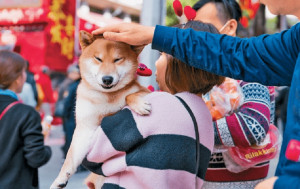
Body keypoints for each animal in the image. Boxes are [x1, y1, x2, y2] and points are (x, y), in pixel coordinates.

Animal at [50, 30, 152, 188]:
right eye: (98, 59)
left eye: (117, 59)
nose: (107, 79)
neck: (107, 98)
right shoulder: (86, 128)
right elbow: (70, 157)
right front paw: (59, 179)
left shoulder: (145, 91)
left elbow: (130, 95)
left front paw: (140, 104)